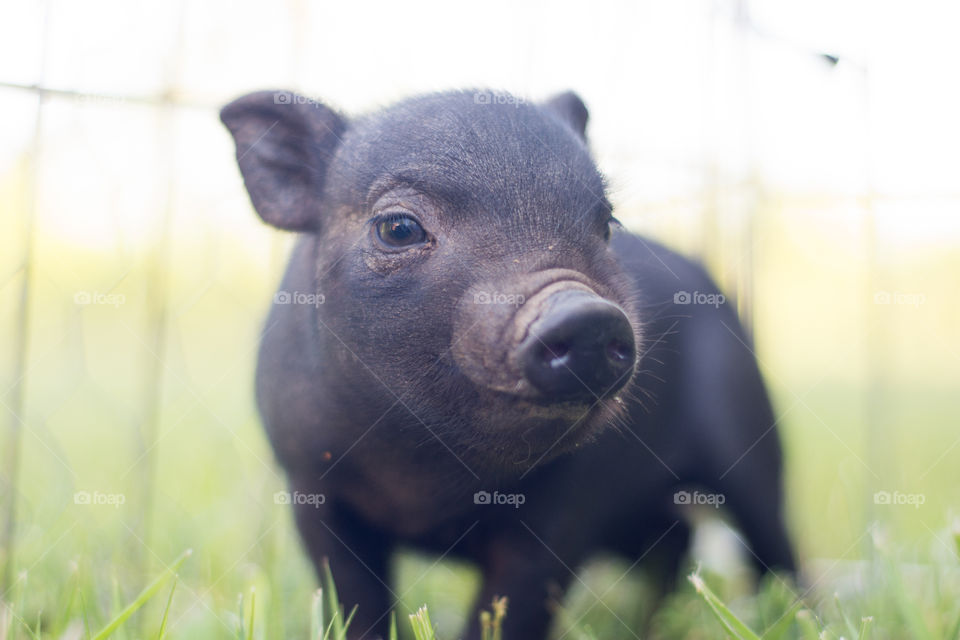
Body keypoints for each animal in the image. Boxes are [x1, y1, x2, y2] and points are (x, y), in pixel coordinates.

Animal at [220, 89, 794, 640]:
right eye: (398, 228)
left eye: (606, 225)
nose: (585, 314)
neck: (424, 473)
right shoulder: (309, 484)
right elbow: (353, 599)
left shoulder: (567, 507)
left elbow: (513, 607)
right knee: (676, 546)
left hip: (752, 437)